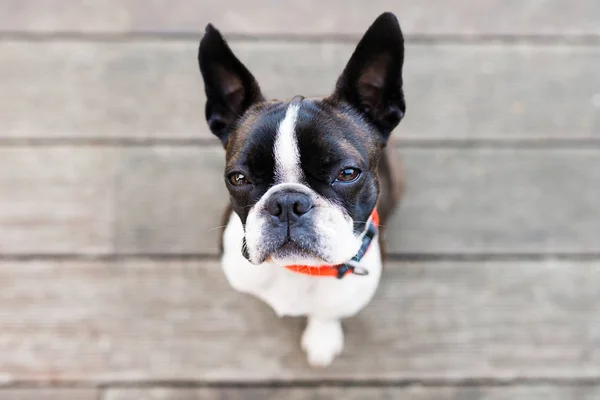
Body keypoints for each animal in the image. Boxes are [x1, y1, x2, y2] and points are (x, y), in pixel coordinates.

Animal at [199, 11, 406, 368]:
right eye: (238, 178)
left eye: (347, 173)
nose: (286, 203)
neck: (297, 271)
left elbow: (327, 313)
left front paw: (322, 338)